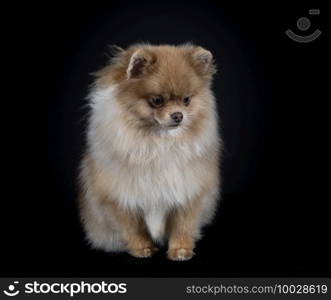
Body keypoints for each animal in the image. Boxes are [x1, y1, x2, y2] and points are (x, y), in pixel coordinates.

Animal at [79, 42, 222, 260]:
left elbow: (183, 225)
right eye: (157, 101)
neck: (158, 143)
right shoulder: (121, 198)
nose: (178, 115)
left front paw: (180, 250)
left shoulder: (188, 192)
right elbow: (132, 228)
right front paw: (142, 249)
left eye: (186, 100)